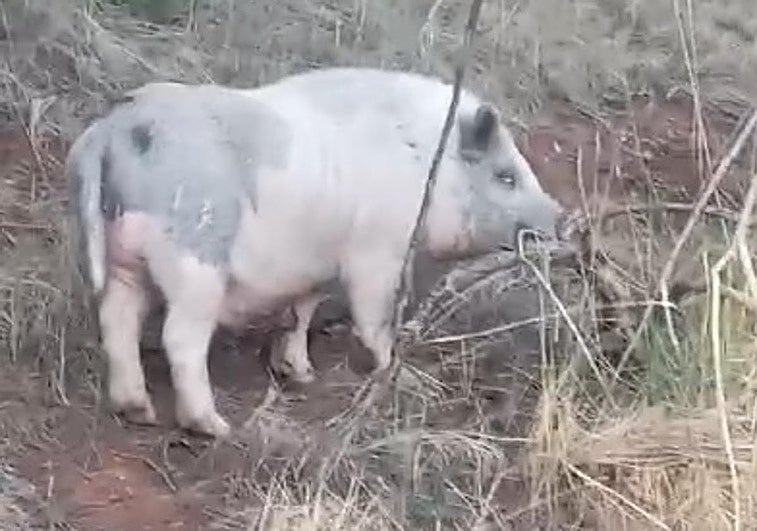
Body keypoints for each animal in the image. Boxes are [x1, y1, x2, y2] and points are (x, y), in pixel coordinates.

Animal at [66, 67, 563, 438]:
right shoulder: (375, 254)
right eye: (505, 176)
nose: (561, 218)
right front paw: (394, 371)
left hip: (125, 260)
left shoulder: (316, 267)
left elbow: (302, 312)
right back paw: (215, 427)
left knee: (117, 320)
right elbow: (374, 316)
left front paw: (301, 374)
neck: (429, 166)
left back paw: (136, 411)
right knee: (180, 337)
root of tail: (113, 130)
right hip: (196, 258)